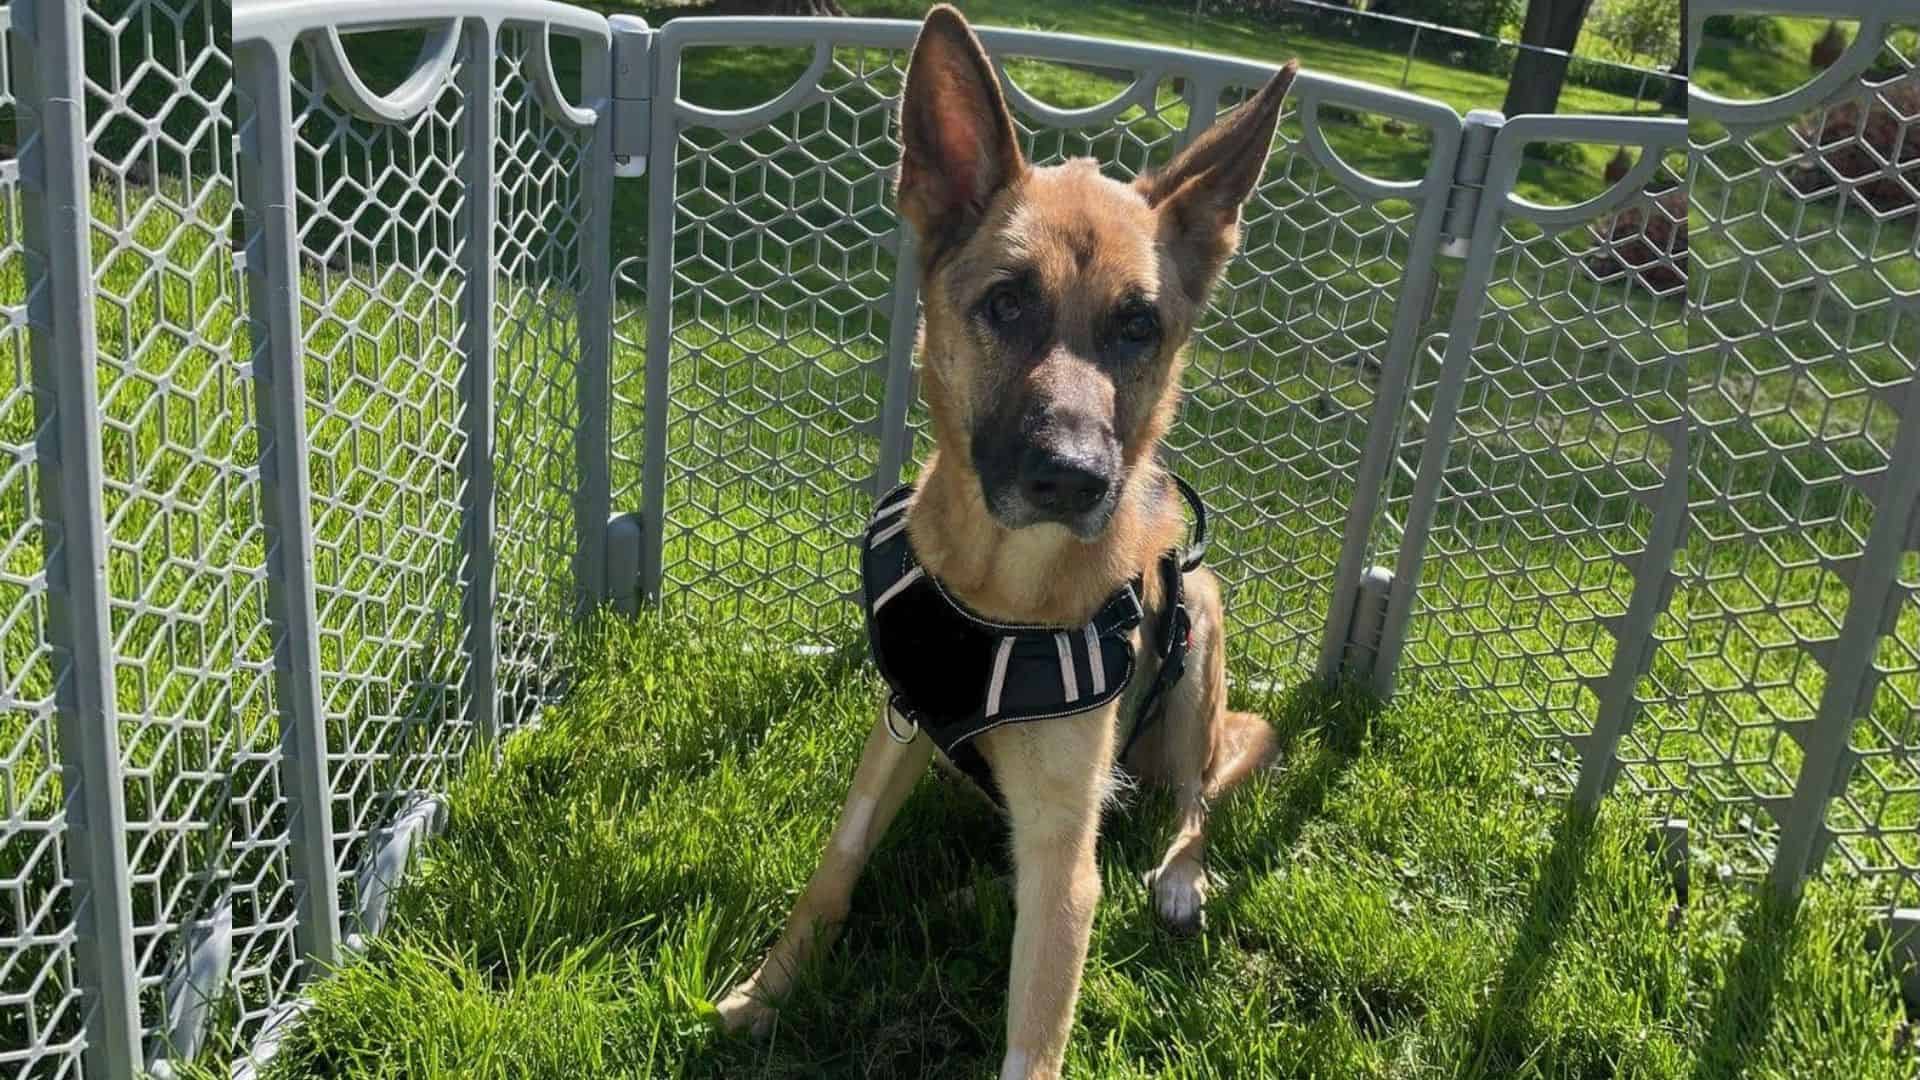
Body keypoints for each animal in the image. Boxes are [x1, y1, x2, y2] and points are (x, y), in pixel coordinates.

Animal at [721, 6, 1305, 1068]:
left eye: (1139, 327)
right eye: (1006, 302)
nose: (1075, 477)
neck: (1003, 591)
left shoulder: (1067, 855)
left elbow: (1037, 1028)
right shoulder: (898, 727)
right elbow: (836, 863)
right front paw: (769, 989)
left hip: (1198, 628)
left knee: (1196, 795)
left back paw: (1179, 874)